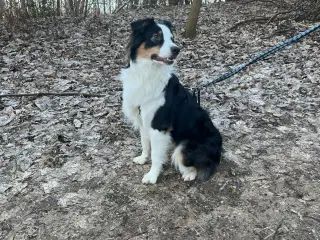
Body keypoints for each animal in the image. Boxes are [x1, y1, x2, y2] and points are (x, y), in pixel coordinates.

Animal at [119, 17, 221, 185]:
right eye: (156, 37)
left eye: (172, 39)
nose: (176, 49)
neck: (147, 73)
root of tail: (219, 149)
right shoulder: (143, 120)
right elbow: (145, 142)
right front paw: (143, 158)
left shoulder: (159, 126)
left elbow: (156, 155)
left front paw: (152, 176)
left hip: (185, 146)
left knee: (198, 165)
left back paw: (189, 174)